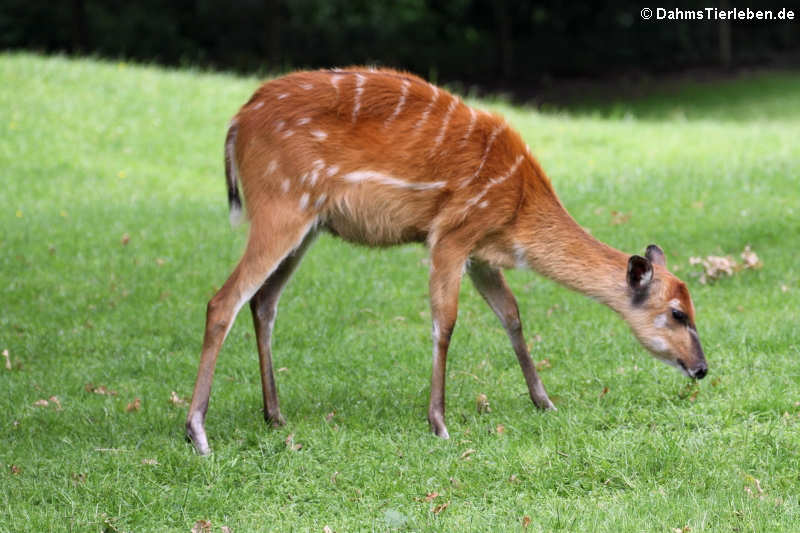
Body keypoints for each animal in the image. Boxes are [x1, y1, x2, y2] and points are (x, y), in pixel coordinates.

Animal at [186, 68, 708, 456]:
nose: (701, 368)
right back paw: (198, 432)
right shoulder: (451, 234)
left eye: (692, 308)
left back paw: (275, 416)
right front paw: (439, 423)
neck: (518, 210)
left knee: (264, 302)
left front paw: (545, 402)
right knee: (223, 300)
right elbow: (445, 320)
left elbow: (512, 315)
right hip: (280, 205)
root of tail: (236, 125)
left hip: (308, 224)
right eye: (677, 313)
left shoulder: (481, 252)